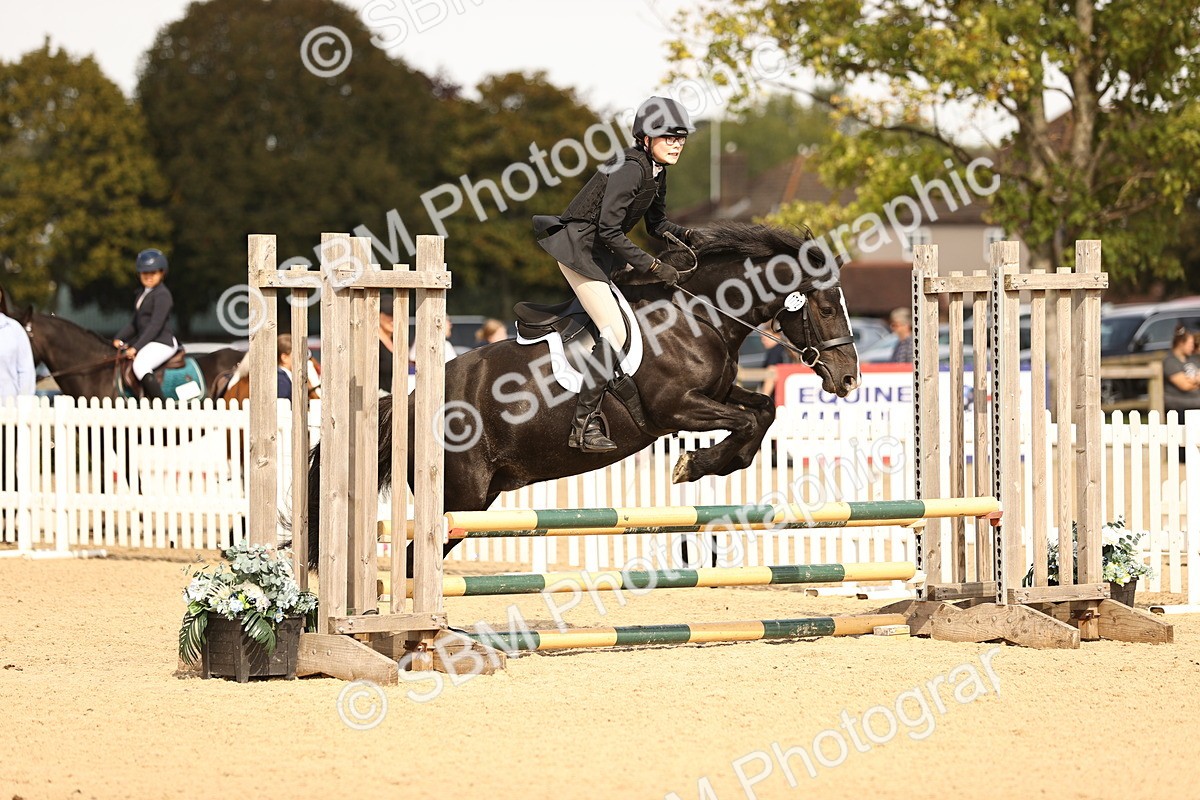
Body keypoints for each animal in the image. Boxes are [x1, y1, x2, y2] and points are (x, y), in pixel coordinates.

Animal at [305, 221, 861, 569]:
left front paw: (711, 464)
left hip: (478, 499)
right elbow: (745, 423)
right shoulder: (675, 409)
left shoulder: (719, 393)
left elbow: (762, 412)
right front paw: (692, 466)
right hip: (458, 497)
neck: (697, 314)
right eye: (827, 307)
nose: (849, 379)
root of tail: (411, 401)